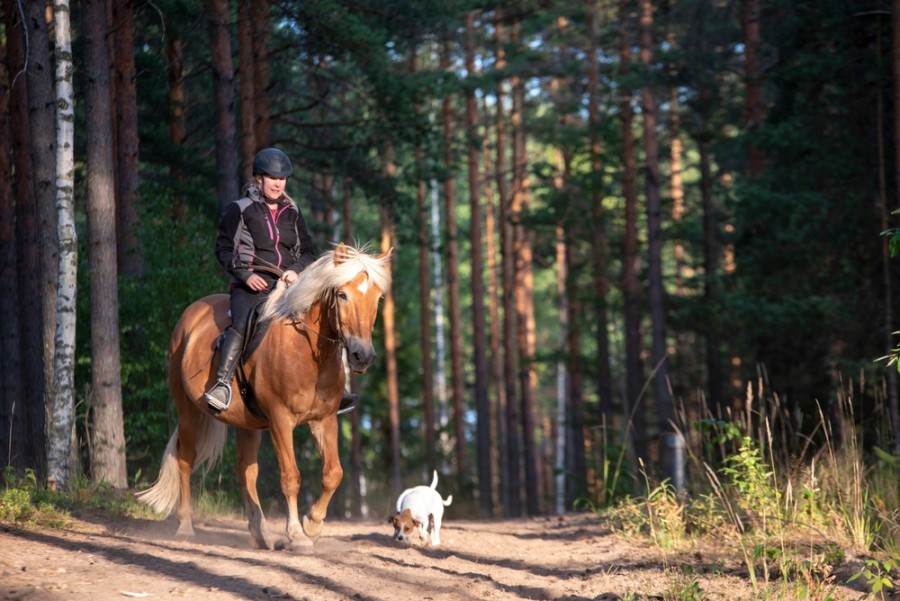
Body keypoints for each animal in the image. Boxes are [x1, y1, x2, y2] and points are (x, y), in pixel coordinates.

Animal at [137, 243, 390, 548]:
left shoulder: (324, 420)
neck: (306, 352)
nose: (362, 356)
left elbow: (333, 474)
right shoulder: (281, 420)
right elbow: (291, 477)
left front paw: (312, 524)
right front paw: (296, 533)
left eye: (378, 298)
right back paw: (186, 526)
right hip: (188, 408)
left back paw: (262, 533)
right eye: (342, 294)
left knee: (245, 469)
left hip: (247, 422)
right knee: (186, 459)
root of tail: (192, 314)